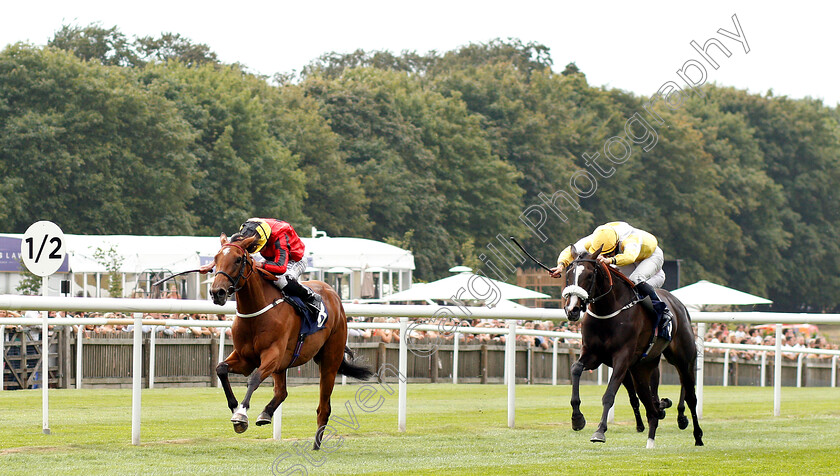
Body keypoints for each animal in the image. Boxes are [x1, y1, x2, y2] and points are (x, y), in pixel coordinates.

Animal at [209, 232, 370, 448]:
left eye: (237, 259)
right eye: (216, 258)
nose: (216, 292)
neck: (256, 311)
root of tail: (332, 293)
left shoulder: (272, 354)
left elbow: (255, 378)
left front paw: (241, 415)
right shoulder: (245, 358)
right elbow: (221, 369)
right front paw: (235, 407)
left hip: (329, 361)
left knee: (324, 407)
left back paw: (316, 445)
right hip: (284, 365)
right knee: (282, 392)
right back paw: (266, 413)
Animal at [560, 247, 704, 448]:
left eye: (589, 275)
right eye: (568, 274)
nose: (572, 309)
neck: (607, 311)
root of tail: (681, 306)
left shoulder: (622, 358)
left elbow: (609, 394)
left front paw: (600, 431)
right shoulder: (593, 354)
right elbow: (575, 369)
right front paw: (577, 419)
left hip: (683, 360)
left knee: (690, 396)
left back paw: (697, 435)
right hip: (642, 369)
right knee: (650, 407)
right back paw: (651, 439)